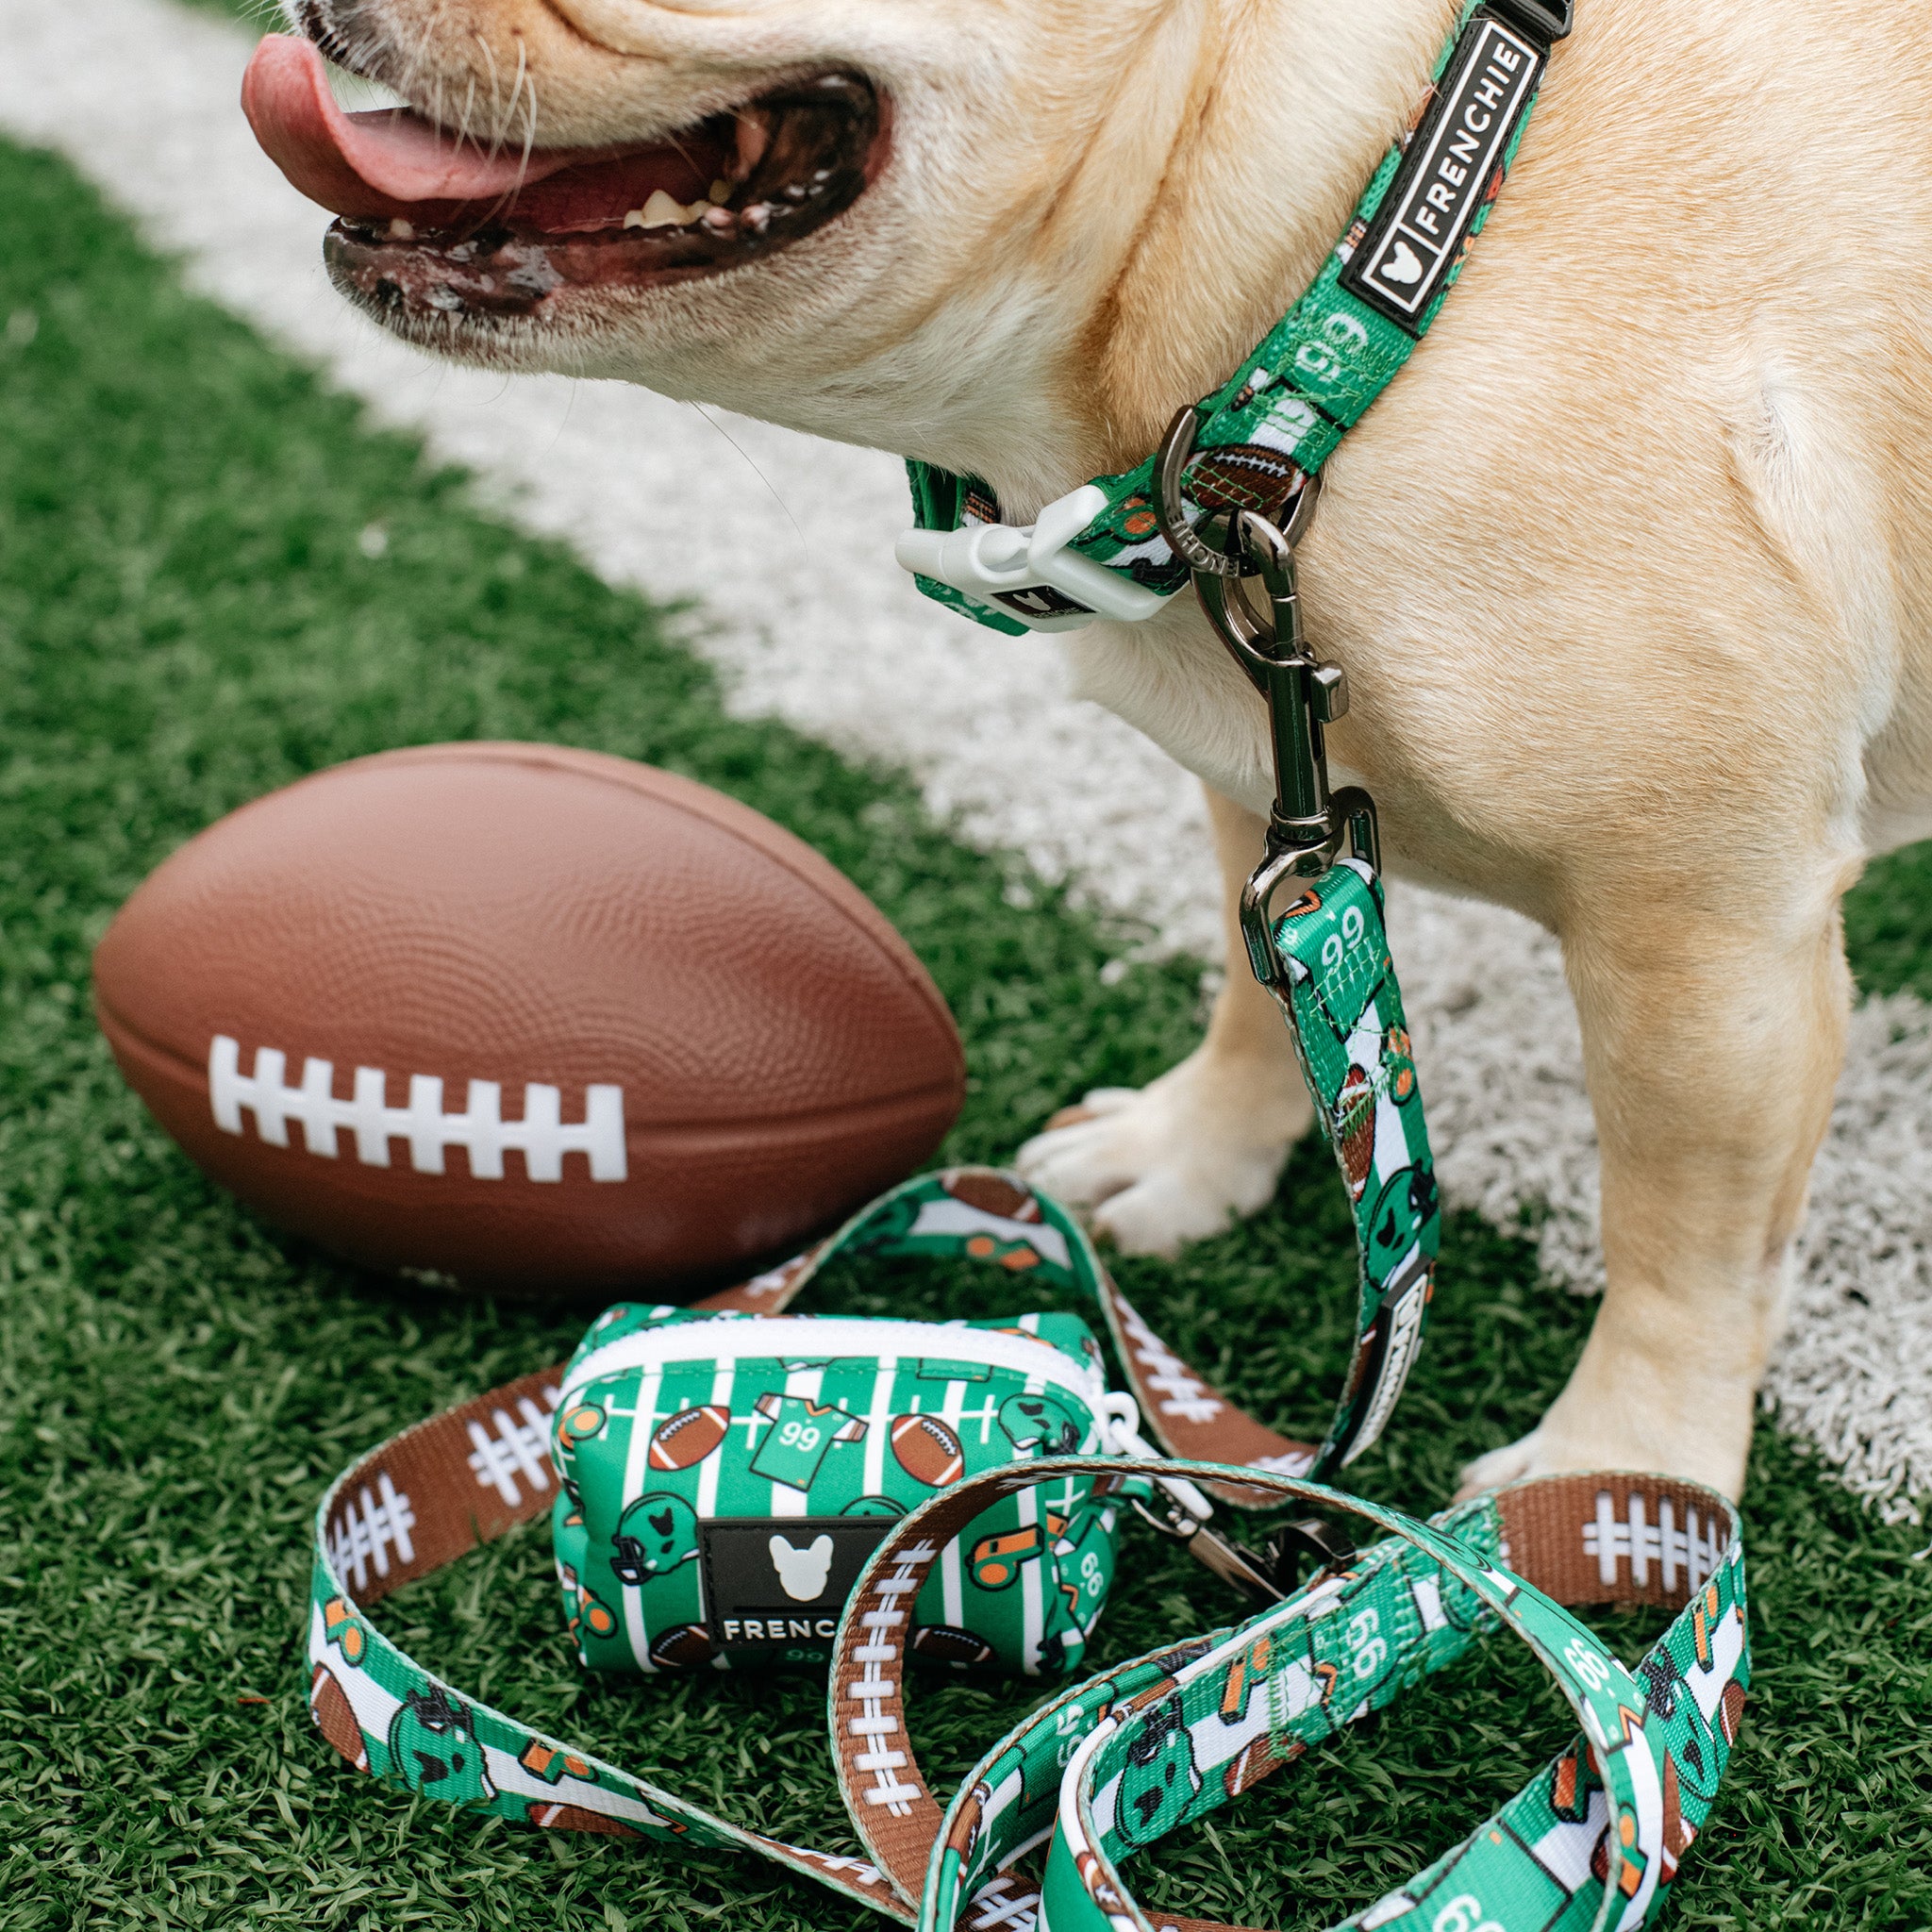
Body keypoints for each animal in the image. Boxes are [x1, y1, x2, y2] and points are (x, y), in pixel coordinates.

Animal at [245, 0, 1932, 1507]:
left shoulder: (1702, 940)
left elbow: (1684, 1233)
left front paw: (1627, 1473)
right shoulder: (1267, 775)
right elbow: (1269, 996)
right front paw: (1194, 1156)